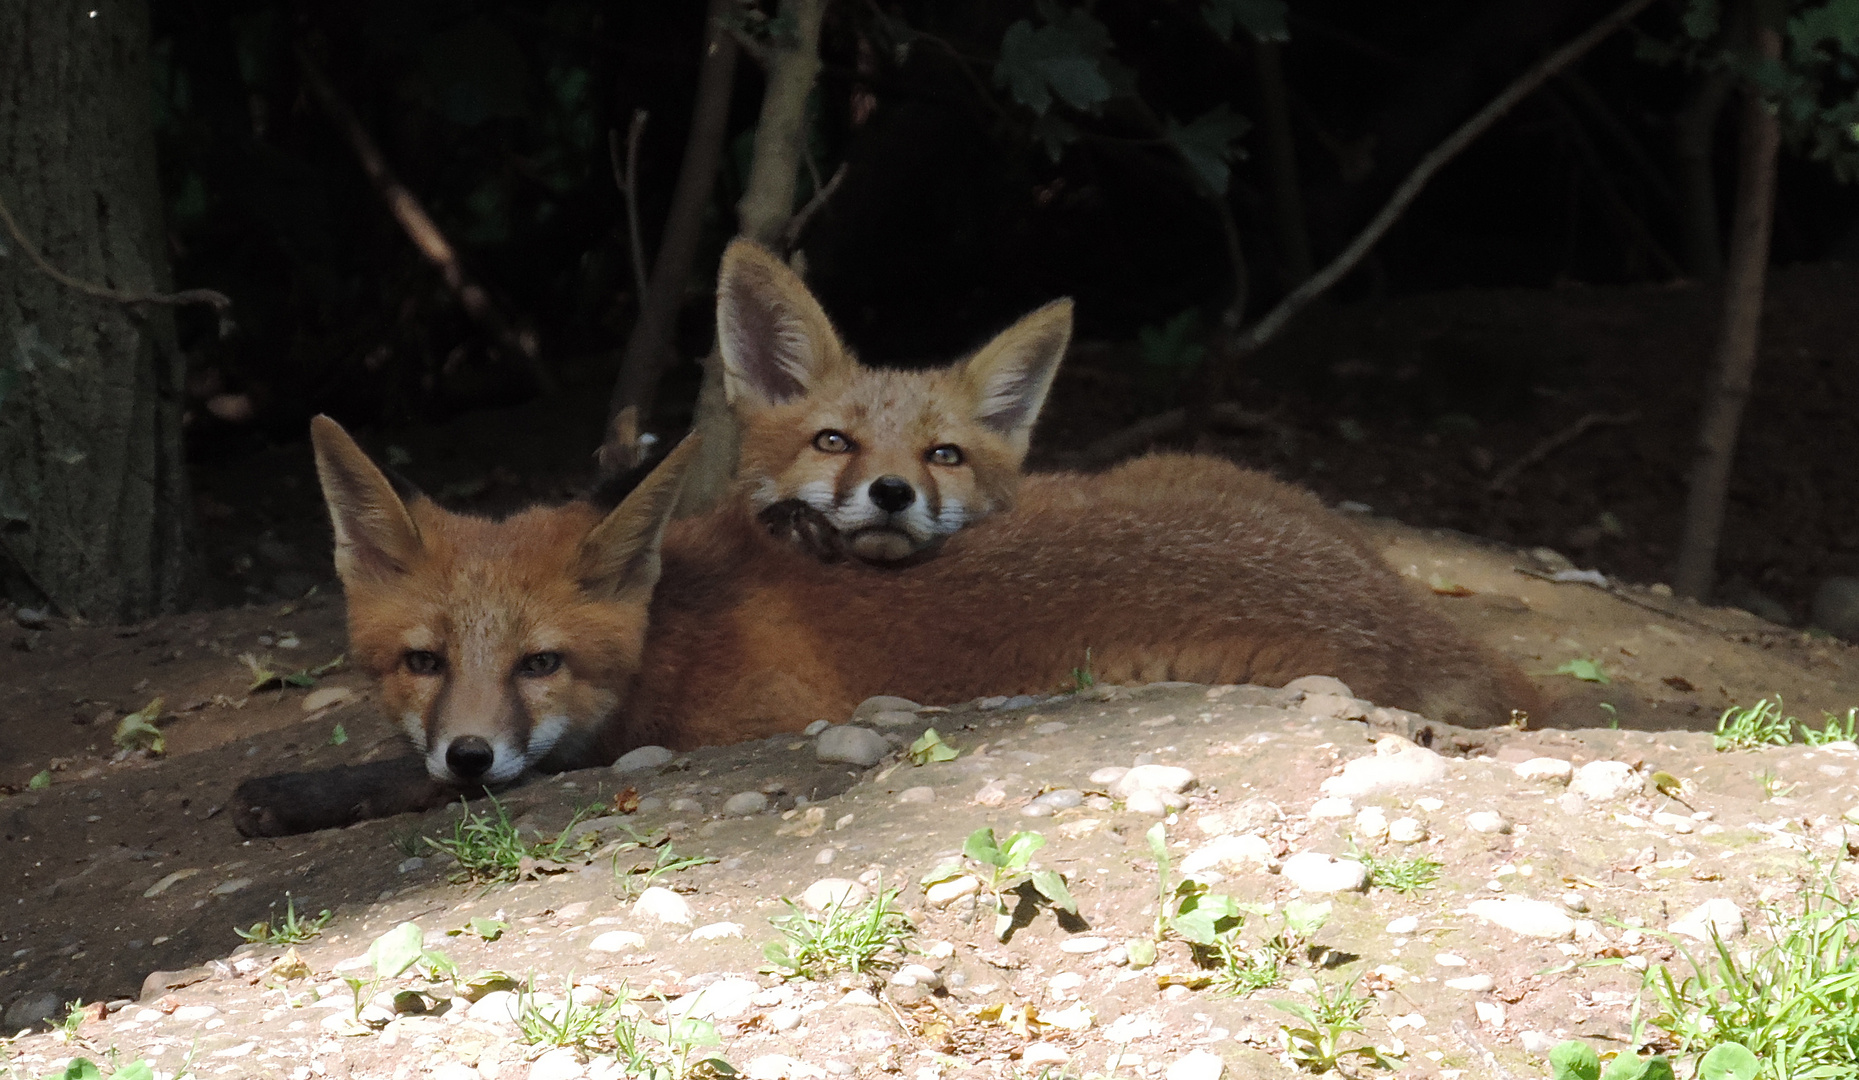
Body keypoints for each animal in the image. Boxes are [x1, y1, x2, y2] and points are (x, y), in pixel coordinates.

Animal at [236, 414, 1539, 832]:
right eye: (420, 661)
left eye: (539, 663)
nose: (467, 751)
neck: (673, 636)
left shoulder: (708, 729)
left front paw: (304, 794)